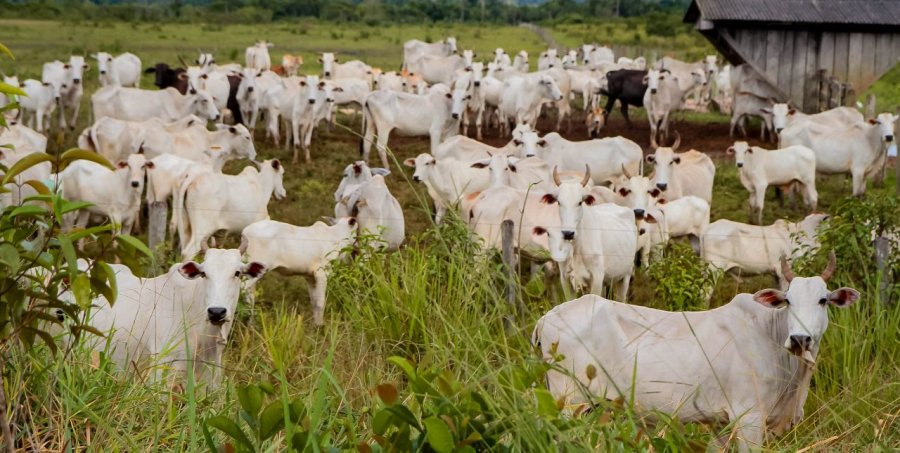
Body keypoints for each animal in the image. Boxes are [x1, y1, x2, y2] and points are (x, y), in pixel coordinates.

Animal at [532, 254, 860, 448]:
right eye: (788, 300)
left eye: (823, 300)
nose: (800, 339)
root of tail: (546, 318)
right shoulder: (749, 418)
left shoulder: (720, 423)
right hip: (569, 401)